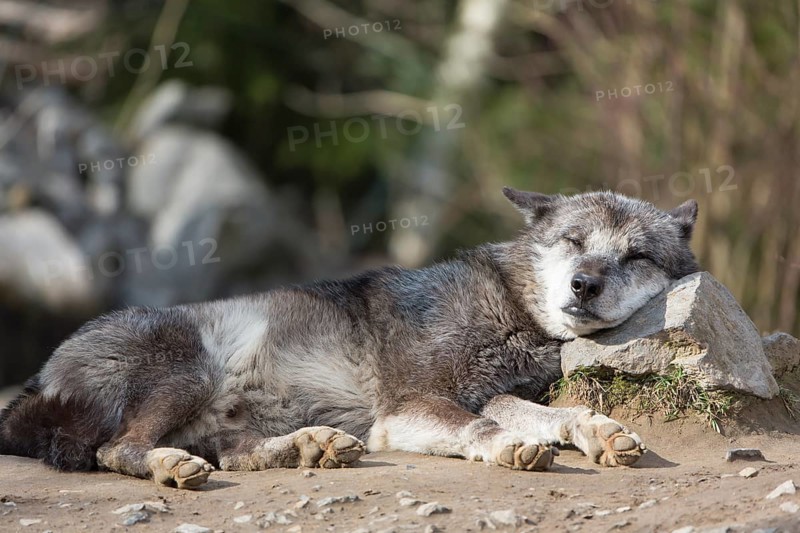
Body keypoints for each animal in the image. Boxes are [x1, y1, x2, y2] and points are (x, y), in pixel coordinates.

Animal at [0, 189, 699, 488]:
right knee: (117, 450)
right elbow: (483, 427)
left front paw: (598, 430)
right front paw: (509, 448)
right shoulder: (411, 408)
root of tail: (31, 384)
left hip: (222, 417)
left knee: (233, 456)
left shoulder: (493, 391)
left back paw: (311, 447)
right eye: (573, 242)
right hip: (188, 371)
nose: (584, 284)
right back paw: (171, 466)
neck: (507, 305)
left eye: (636, 256)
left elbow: (554, 413)